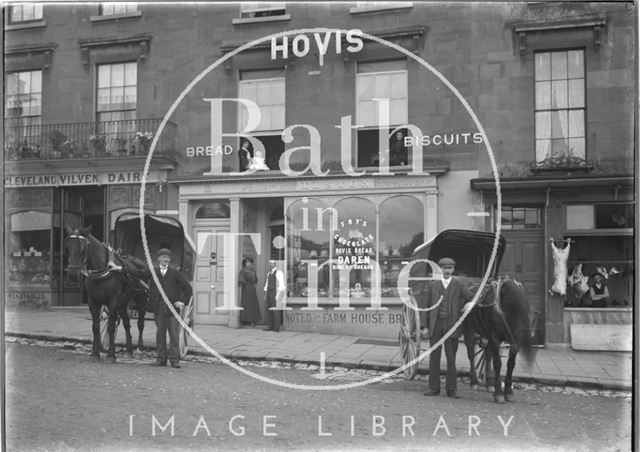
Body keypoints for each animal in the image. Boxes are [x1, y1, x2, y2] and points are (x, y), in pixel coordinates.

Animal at [64, 228, 148, 362]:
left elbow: (111, 327)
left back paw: (139, 349)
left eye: (82, 248)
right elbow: (96, 327)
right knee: (126, 323)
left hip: (141, 299)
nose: (72, 275)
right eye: (67, 247)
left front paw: (111, 355)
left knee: (140, 323)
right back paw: (129, 350)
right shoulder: (93, 301)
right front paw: (95, 354)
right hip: (123, 302)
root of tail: (140, 262)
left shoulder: (113, 301)